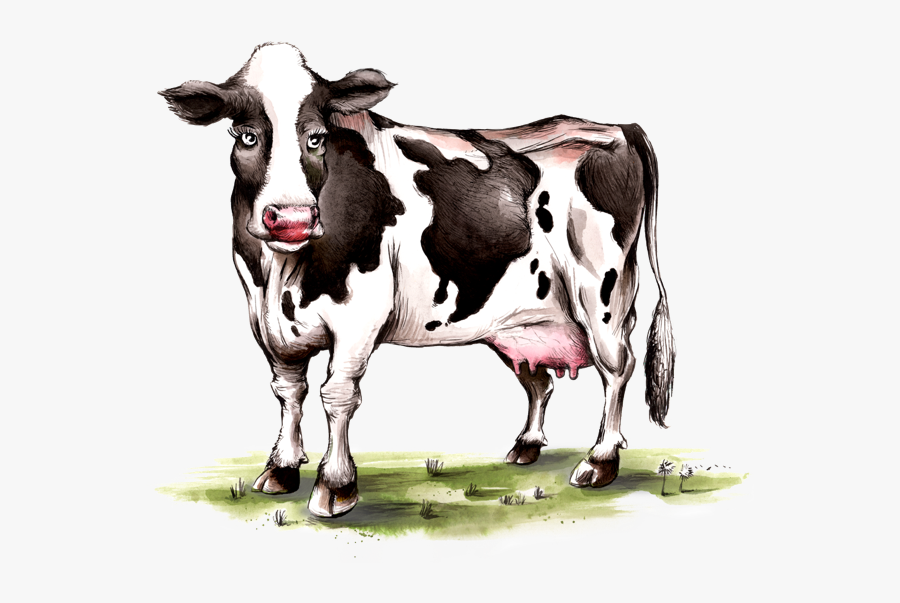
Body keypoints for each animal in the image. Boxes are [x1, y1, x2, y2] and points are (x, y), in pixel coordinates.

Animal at [160, 43, 675, 518]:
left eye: (316, 137)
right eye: (246, 135)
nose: (291, 218)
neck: (282, 273)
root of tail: (613, 127)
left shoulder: (359, 314)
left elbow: (337, 395)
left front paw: (336, 485)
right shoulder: (265, 319)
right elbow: (289, 391)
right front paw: (281, 469)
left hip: (603, 289)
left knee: (617, 367)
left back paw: (600, 461)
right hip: (522, 319)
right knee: (540, 382)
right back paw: (526, 445)